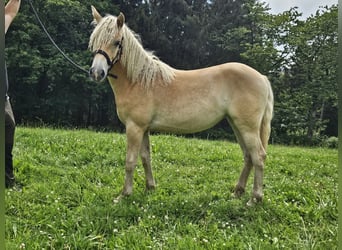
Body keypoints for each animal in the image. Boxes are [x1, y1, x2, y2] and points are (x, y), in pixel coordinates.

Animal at [89, 5, 276, 206]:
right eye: (94, 41)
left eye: (117, 42)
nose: (97, 72)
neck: (138, 81)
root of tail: (262, 77)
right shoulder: (143, 128)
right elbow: (146, 158)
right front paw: (150, 188)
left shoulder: (134, 127)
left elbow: (130, 161)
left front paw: (124, 194)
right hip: (237, 125)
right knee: (249, 156)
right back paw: (238, 192)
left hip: (248, 127)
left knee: (258, 156)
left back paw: (255, 198)